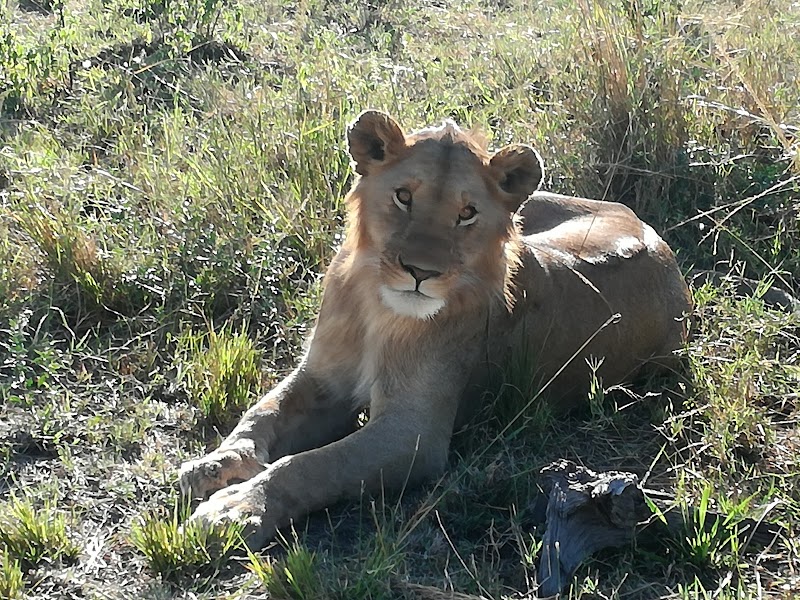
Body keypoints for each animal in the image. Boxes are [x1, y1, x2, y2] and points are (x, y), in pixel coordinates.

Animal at [178, 110, 692, 548]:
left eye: (467, 213)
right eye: (404, 196)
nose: (420, 272)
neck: (377, 310)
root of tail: (652, 233)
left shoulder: (414, 433)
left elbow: (313, 464)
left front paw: (237, 508)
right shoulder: (322, 379)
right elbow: (261, 414)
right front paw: (216, 465)